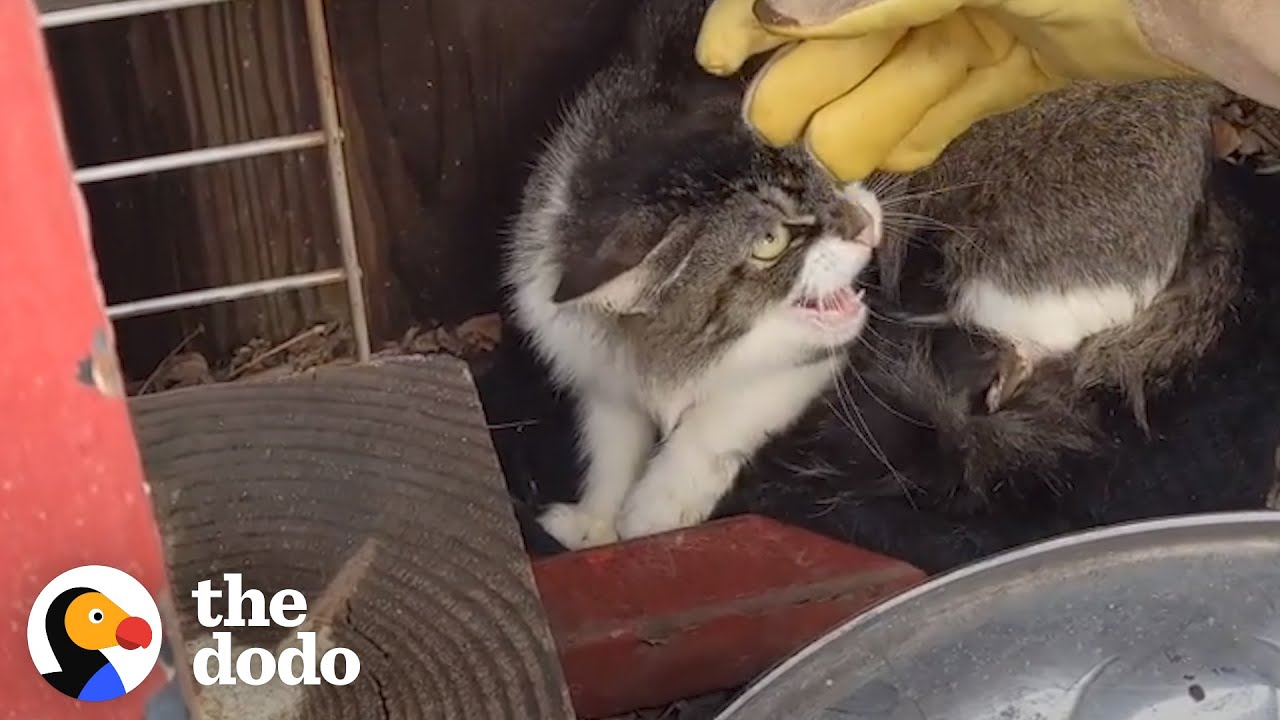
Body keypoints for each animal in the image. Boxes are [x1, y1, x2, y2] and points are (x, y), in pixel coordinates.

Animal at [504, 0, 885, 548]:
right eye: (770, 242)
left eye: (820, 167)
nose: (867, 228)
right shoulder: (593, 361)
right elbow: (611, 444)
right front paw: (596, 523)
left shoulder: (807, 364)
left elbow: (719, 417)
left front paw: (656, 508)